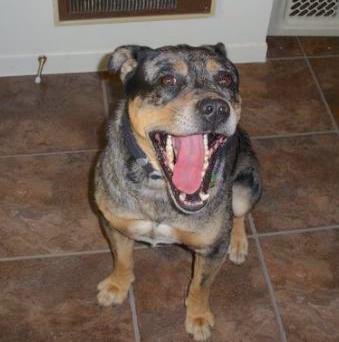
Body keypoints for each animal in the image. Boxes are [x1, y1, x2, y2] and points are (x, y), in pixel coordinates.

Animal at [94, 42, 264, 340]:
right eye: (167, 80)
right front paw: (116, 286)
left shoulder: (211, 249)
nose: (216, 108)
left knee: (239, 213)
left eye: (226, 79)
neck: (159, 188)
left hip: (246, 185)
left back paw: (238, 243)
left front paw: (198, 317)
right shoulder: (114, 223)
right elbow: (122, 259)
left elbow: (200, 285)